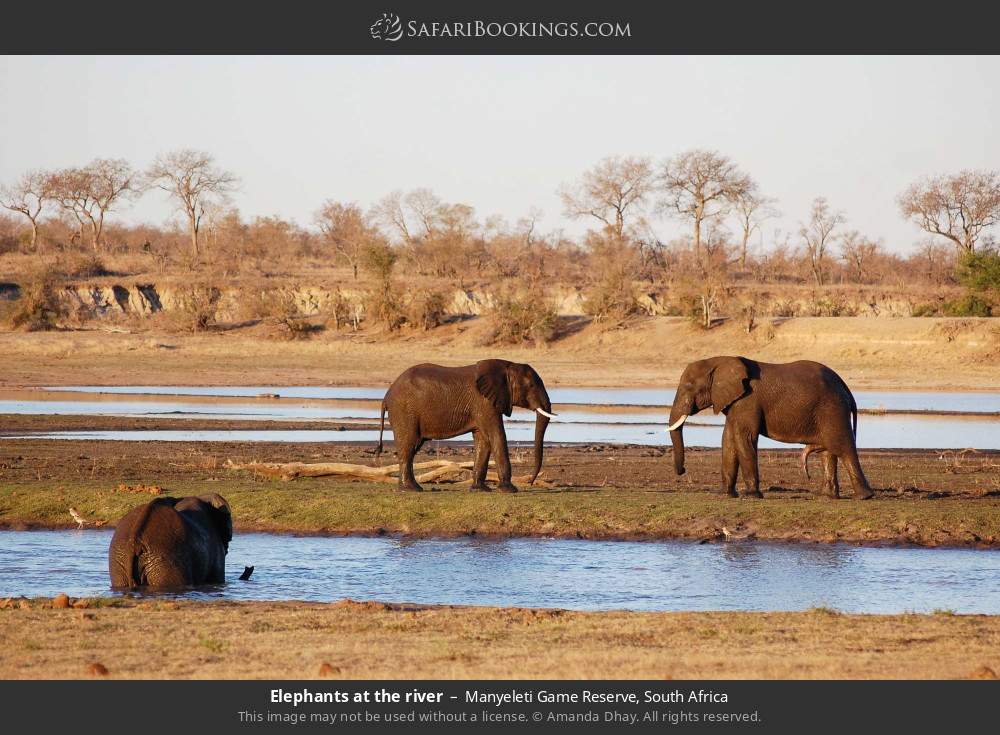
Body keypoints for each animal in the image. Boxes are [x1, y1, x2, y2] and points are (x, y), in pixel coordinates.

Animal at [378, 358, 560, 492]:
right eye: (531, 386)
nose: (531, 481)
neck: (507, 366)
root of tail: (386, 396)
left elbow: (483, 440)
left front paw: (480, 490)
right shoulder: (484, 403)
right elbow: (497, 435)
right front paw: (509, 490)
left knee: (412, 446)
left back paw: (411, 487)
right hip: (404, 411)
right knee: (408, 446)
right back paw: (411, 489)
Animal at [668, 356, 872, 500]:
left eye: (689, 386)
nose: (682, 471)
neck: (719, 361)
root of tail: (845, 387)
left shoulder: (747, 400)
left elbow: (744, 438)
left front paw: (751, 496)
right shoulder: (735, 402)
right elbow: (729, 440)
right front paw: (724, 494)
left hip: (833, 408)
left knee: (842, 447)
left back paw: (864, 497)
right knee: (828, 452)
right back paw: (826, 496)